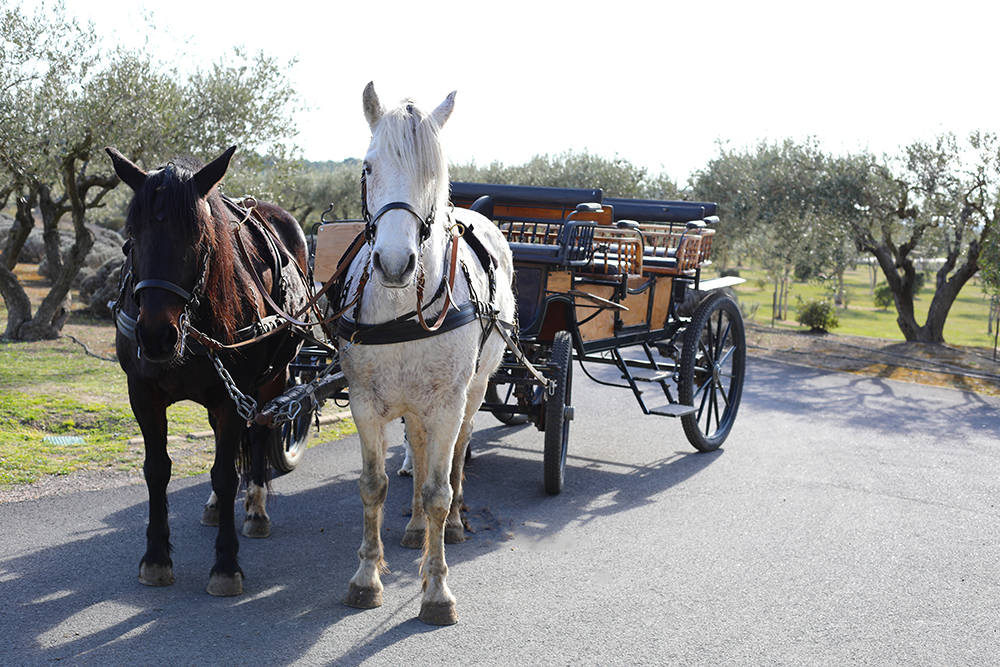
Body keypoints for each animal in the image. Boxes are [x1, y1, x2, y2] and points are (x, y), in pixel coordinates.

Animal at [105, 146, 308, 596]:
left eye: (199, 237)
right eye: (132, 235)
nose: (155, 335)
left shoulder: (236, 397)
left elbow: (225, 474)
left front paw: (226, 564)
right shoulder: (142, 392)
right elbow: (157, 469)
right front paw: (156, 557)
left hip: (274, 378)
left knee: (259, 434)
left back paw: (255, 509)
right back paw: (218, 508)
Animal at [340, 83, 516, 628]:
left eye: (434, 173)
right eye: (368, 166)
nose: (396, 264)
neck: (401, 311)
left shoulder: (446, 404)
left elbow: (440, 489)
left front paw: (437, 589)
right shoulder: (365, 402)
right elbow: (373, 486)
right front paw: (366, 578)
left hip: (472, 392)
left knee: (457, 453)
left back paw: (453, 523)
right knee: (416, 454)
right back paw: (417, 527)